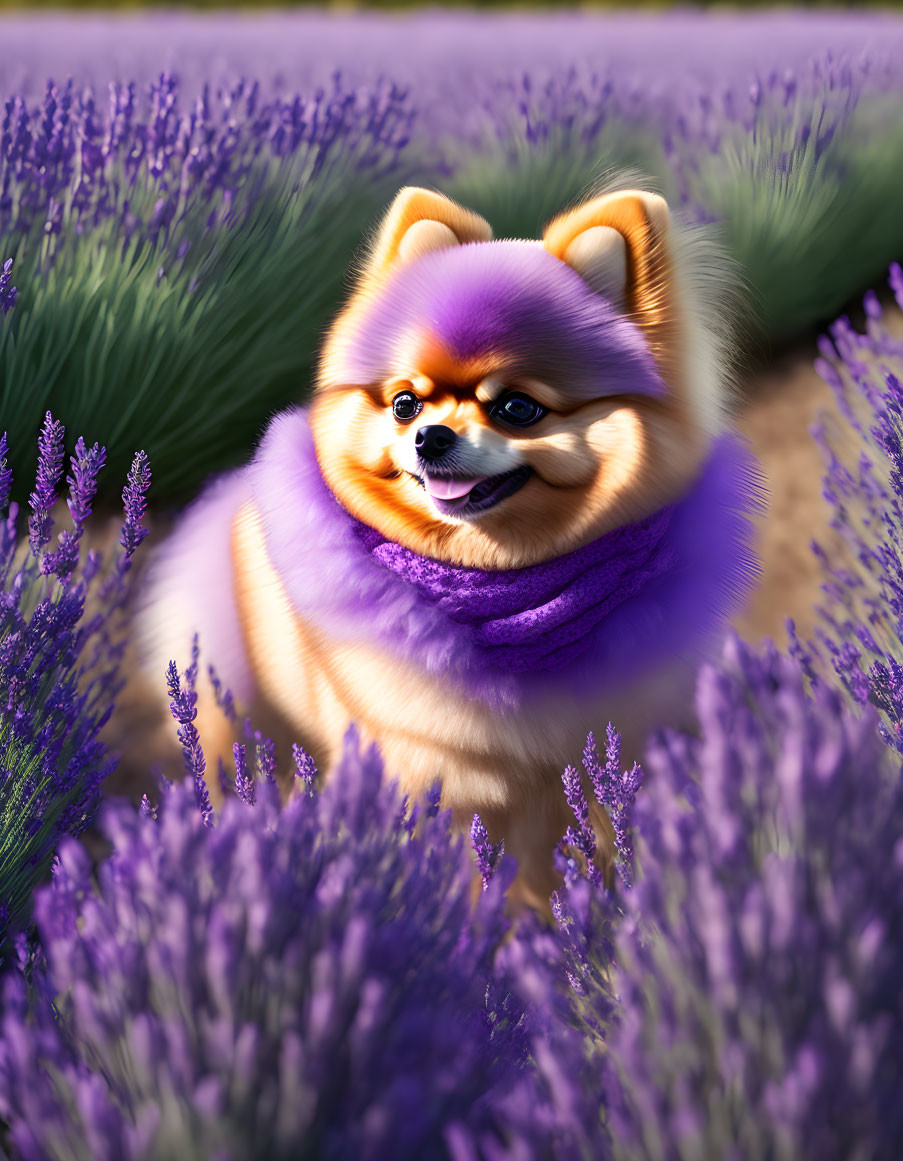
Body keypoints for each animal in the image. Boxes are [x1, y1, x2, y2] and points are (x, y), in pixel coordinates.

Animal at [142, 185, 761, 905]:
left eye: (517, 408)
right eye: (406, 403)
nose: (429, 436)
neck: (503, 590)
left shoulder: (617, 744)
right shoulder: (437, 774)